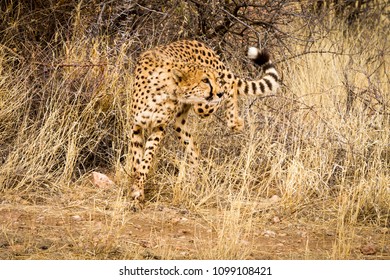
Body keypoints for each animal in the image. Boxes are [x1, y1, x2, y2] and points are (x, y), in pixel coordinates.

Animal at [129, 40, 278, 201]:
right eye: (205, 80)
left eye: (212, 80)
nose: (218, 92)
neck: (165, 90)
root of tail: (198, 42)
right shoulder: (136, 126)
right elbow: (137, 160)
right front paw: (137, 189)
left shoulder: (159, 127)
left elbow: (146, 160)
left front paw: (138, 188)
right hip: (180, 123)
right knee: (194, 149)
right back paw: (190, 183)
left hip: (203, 106)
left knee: (231, 85)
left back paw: (234, 122)